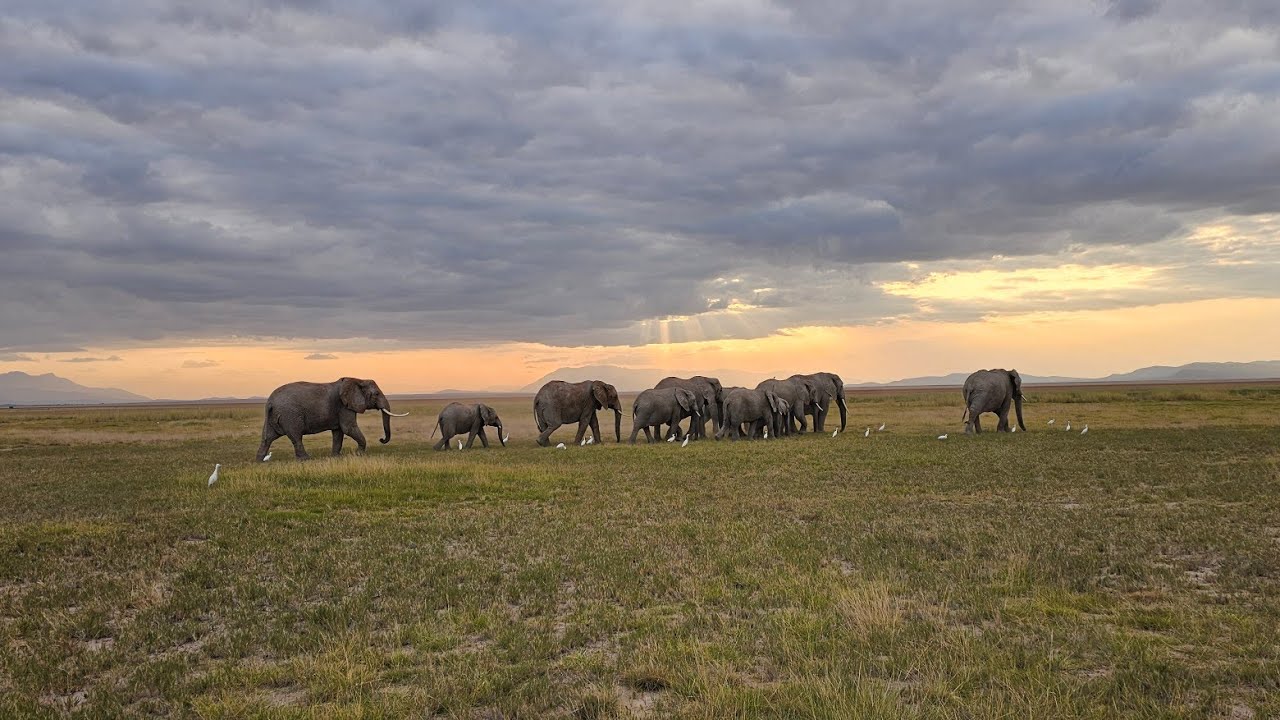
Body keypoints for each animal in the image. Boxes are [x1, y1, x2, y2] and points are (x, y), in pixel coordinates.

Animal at [256, 377, 408, 461]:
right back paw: (306, 459)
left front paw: (336, 457)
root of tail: (270, 402)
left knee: (267, 437)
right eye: (376, 394)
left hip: (273, 416)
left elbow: (339, 432)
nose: (381, 439)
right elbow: (348, 428)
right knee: (296, 436)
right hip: (290, 415)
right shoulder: (344, 406)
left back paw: (259, 460)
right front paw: (359, 454)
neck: (357, 379)